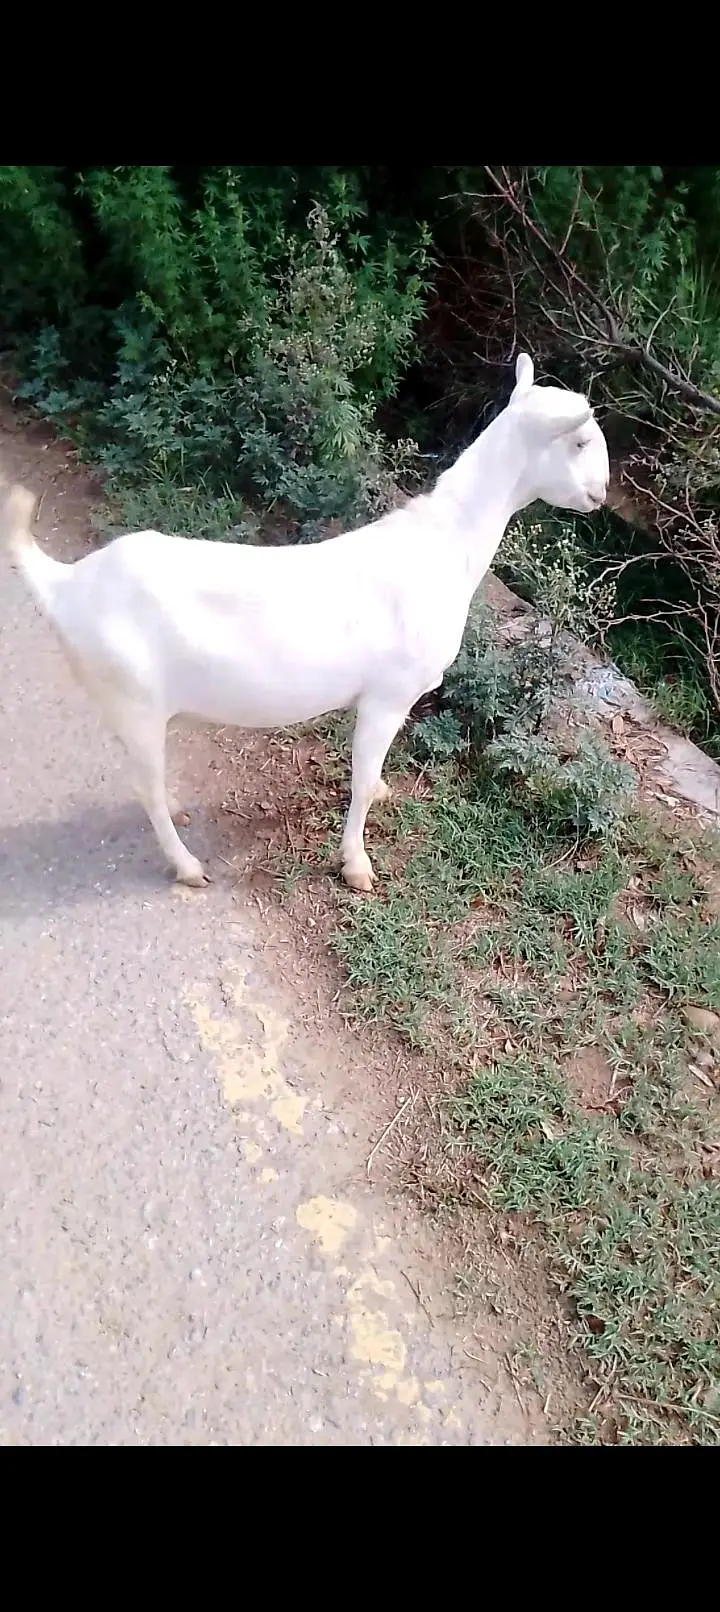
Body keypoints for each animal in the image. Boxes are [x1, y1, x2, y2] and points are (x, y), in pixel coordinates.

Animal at [1, 354, 609, 893]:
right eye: (579, 442)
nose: (601, 494)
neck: (444, 545)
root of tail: (66, 584)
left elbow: (369, 776)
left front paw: (381, 794)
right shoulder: (389, 693)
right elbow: (358, 783)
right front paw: (356, 866)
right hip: (133, 697)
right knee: (143, 788)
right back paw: (188, 866)